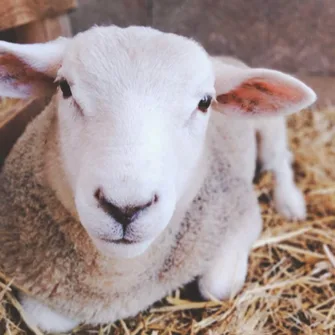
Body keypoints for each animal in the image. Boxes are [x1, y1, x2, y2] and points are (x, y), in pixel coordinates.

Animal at [0, 25, 318, 334]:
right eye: (65, 88)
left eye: (205, 103)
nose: (125, 208)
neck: (121, 278)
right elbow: (45, 320)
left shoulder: (241, 212)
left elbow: (218, 287)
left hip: (270, 127)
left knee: (280, 160)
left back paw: (290, 203)